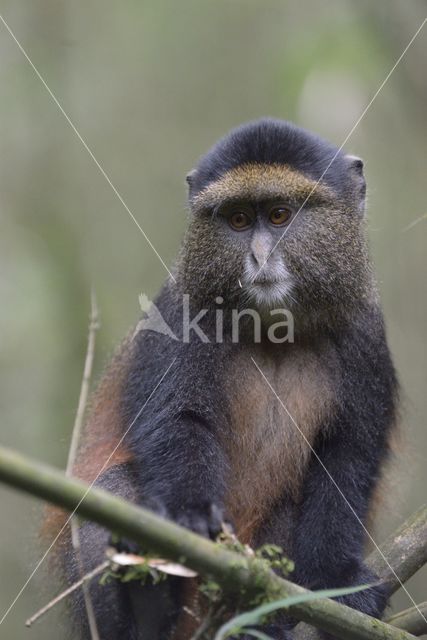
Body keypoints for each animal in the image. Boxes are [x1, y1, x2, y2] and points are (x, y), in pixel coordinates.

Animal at [45, 117, 400, 636]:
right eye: (237, 220)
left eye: (279, 215)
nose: (259, 256)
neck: (274, 330)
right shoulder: (179, 316)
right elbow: (180, 421)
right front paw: (191, 517)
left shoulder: (365, 338)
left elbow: (347, 454)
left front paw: (337, 583)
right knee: (114, 490)